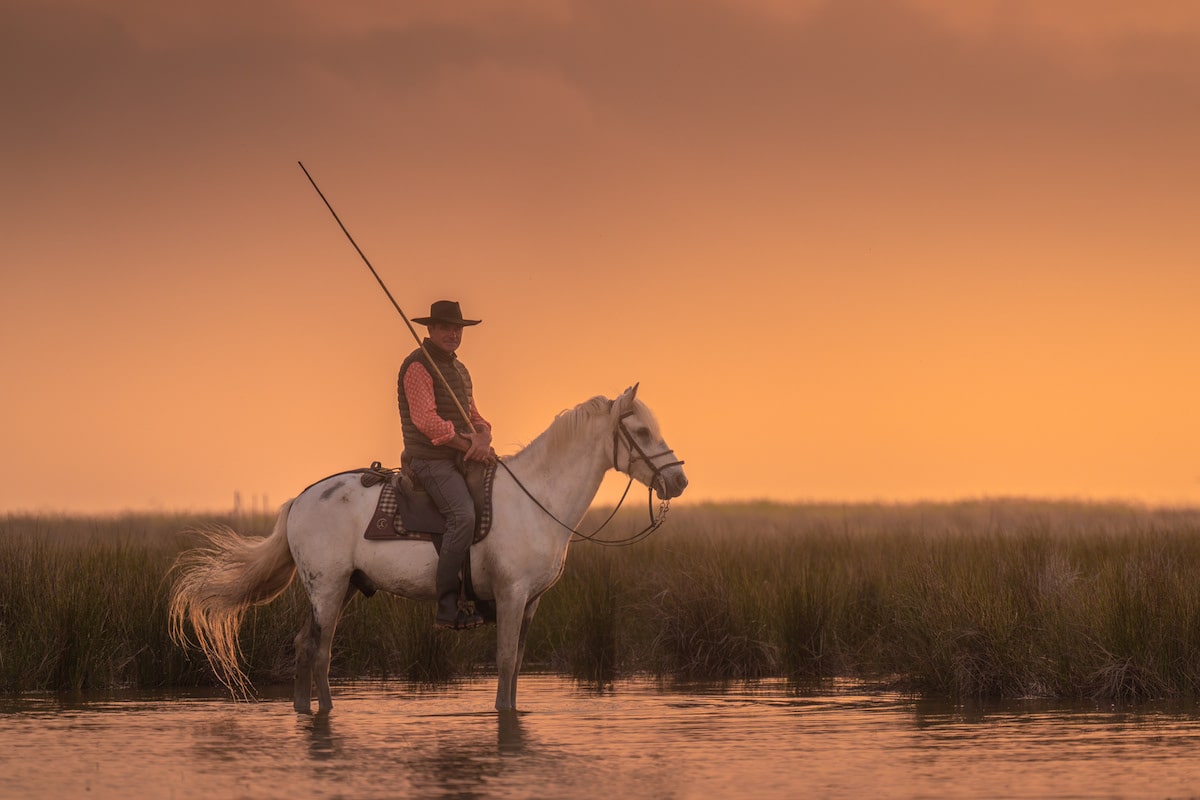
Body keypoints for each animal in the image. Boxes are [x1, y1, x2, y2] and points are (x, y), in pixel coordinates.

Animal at [168, 386, 686, 714]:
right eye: (641, 432)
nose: (679, 481)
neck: (537, 498)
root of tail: (300, 499)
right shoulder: (512, 595)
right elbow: (503, 666)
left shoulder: (533, 602)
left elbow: (517, 666)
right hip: (327, 588)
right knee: (318, 650)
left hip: (345, 587)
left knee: (308, 647)